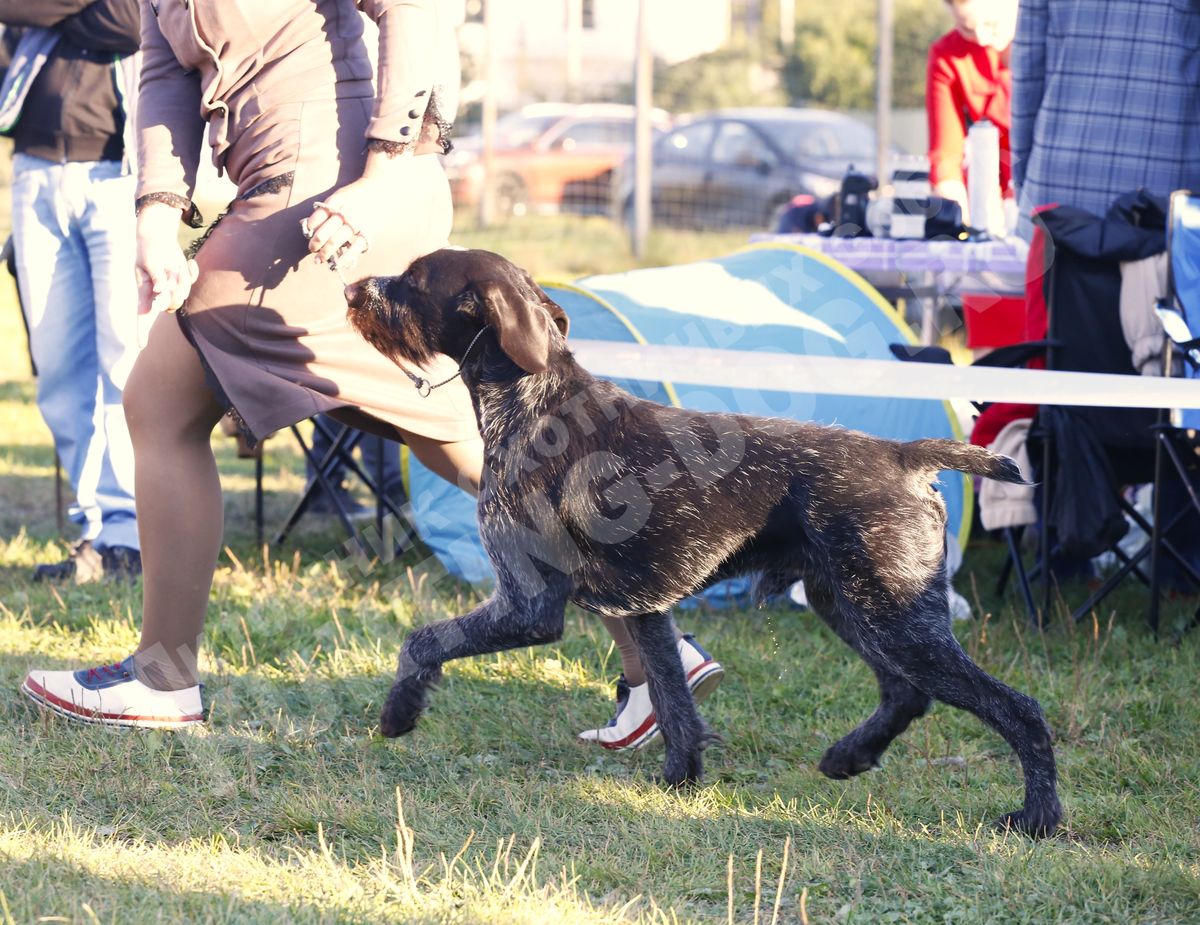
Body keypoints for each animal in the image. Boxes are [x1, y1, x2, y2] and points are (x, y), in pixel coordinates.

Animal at [344, 248, 1062, 838]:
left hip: (895, 615)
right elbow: (673, 701)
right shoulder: (643, 610)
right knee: (906, 693)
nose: (351, 288)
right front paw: (680, 779)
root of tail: (904, 454)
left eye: (411, 282)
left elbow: (422, 640)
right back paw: (848, 756)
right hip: (849, 604)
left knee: (1019, 709)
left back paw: (1037, 818)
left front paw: (399, 712)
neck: (535, 402)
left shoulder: (530, 606)